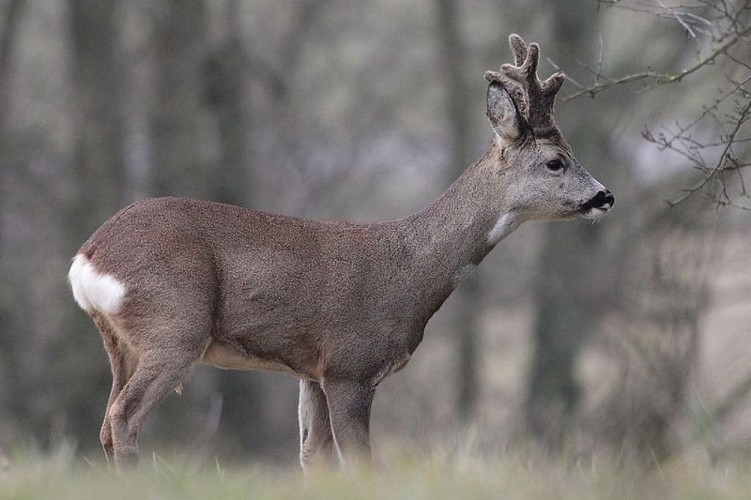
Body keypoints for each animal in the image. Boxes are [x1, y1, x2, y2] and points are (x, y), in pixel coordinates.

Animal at [67, 34, 612, 468]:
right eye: (556, 161)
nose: (605, 196)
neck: (411, 268)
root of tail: (87, 257)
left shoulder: (311, 372)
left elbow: (314, 457)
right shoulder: (352, 366)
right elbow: (362, 462)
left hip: (121, 341)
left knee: (106, 423)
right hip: (175, 326)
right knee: (124, 418)